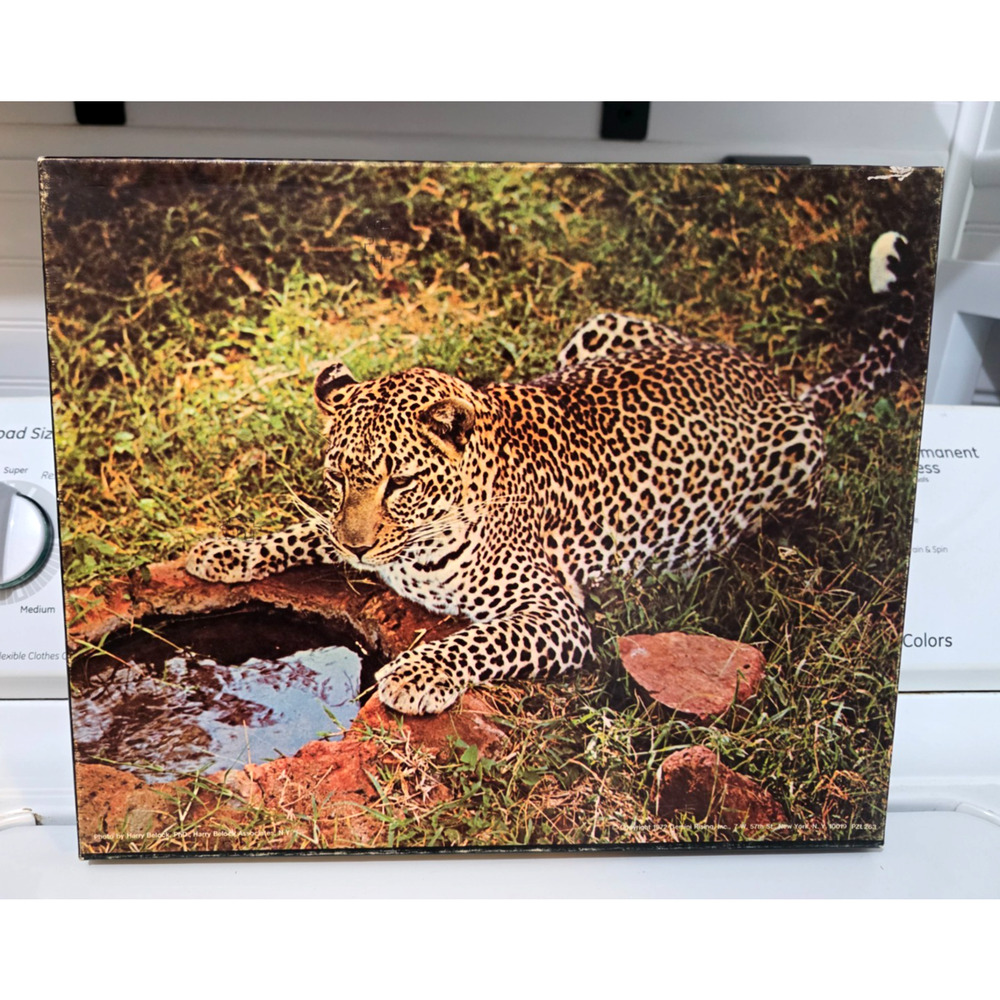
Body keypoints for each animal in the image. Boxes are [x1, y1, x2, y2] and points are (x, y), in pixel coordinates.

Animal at [186, 231, 915, 715]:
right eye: (340, 476)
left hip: (792, 476)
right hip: (601, 325)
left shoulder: (556, 615)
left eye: (401, 483)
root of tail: (777, 382)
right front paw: (226, 551)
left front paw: (416, 675)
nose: (360, 547)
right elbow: (307, 530)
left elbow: (479, 639)